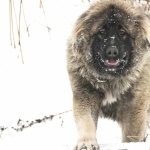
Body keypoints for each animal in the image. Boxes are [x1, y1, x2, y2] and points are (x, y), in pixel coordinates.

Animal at [66, 0, 150, 149]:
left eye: (122, 32)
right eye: (101, 32)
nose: (112, 51)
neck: (111, 79)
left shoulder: (135, 107)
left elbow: (131, 135)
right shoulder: (85, 96)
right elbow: (86, 122)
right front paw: (86, 143)